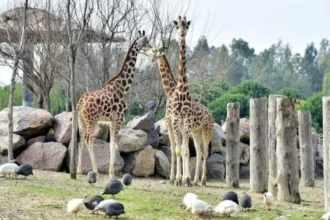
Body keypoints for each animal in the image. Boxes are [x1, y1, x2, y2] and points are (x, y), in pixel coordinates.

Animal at [76, 30, 150, 178]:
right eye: (146, 41)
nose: (151, 48)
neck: (123, 87)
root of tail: (80, 103)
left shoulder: (111, 120)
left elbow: (111, 145)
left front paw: (112, 171)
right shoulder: (119, 118)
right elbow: (115, 145)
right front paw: (112, 173)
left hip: (81, 121)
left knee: (80, 141)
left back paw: (79, 170)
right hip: (92, 121)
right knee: (88, 140)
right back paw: (95, 171)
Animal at [148, 46, 215, 186]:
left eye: (155, 50)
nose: (150, 54)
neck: (171, 92)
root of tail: (211, 114)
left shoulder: (172, 125)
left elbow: (179, 150)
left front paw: (178, 179)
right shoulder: (175, 127)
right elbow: (177, 150)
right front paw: (177, 179)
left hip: (207, 130)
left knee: (205, 151)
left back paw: (202, 180)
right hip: (196, 131)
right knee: (199, 151)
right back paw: (195, 180)